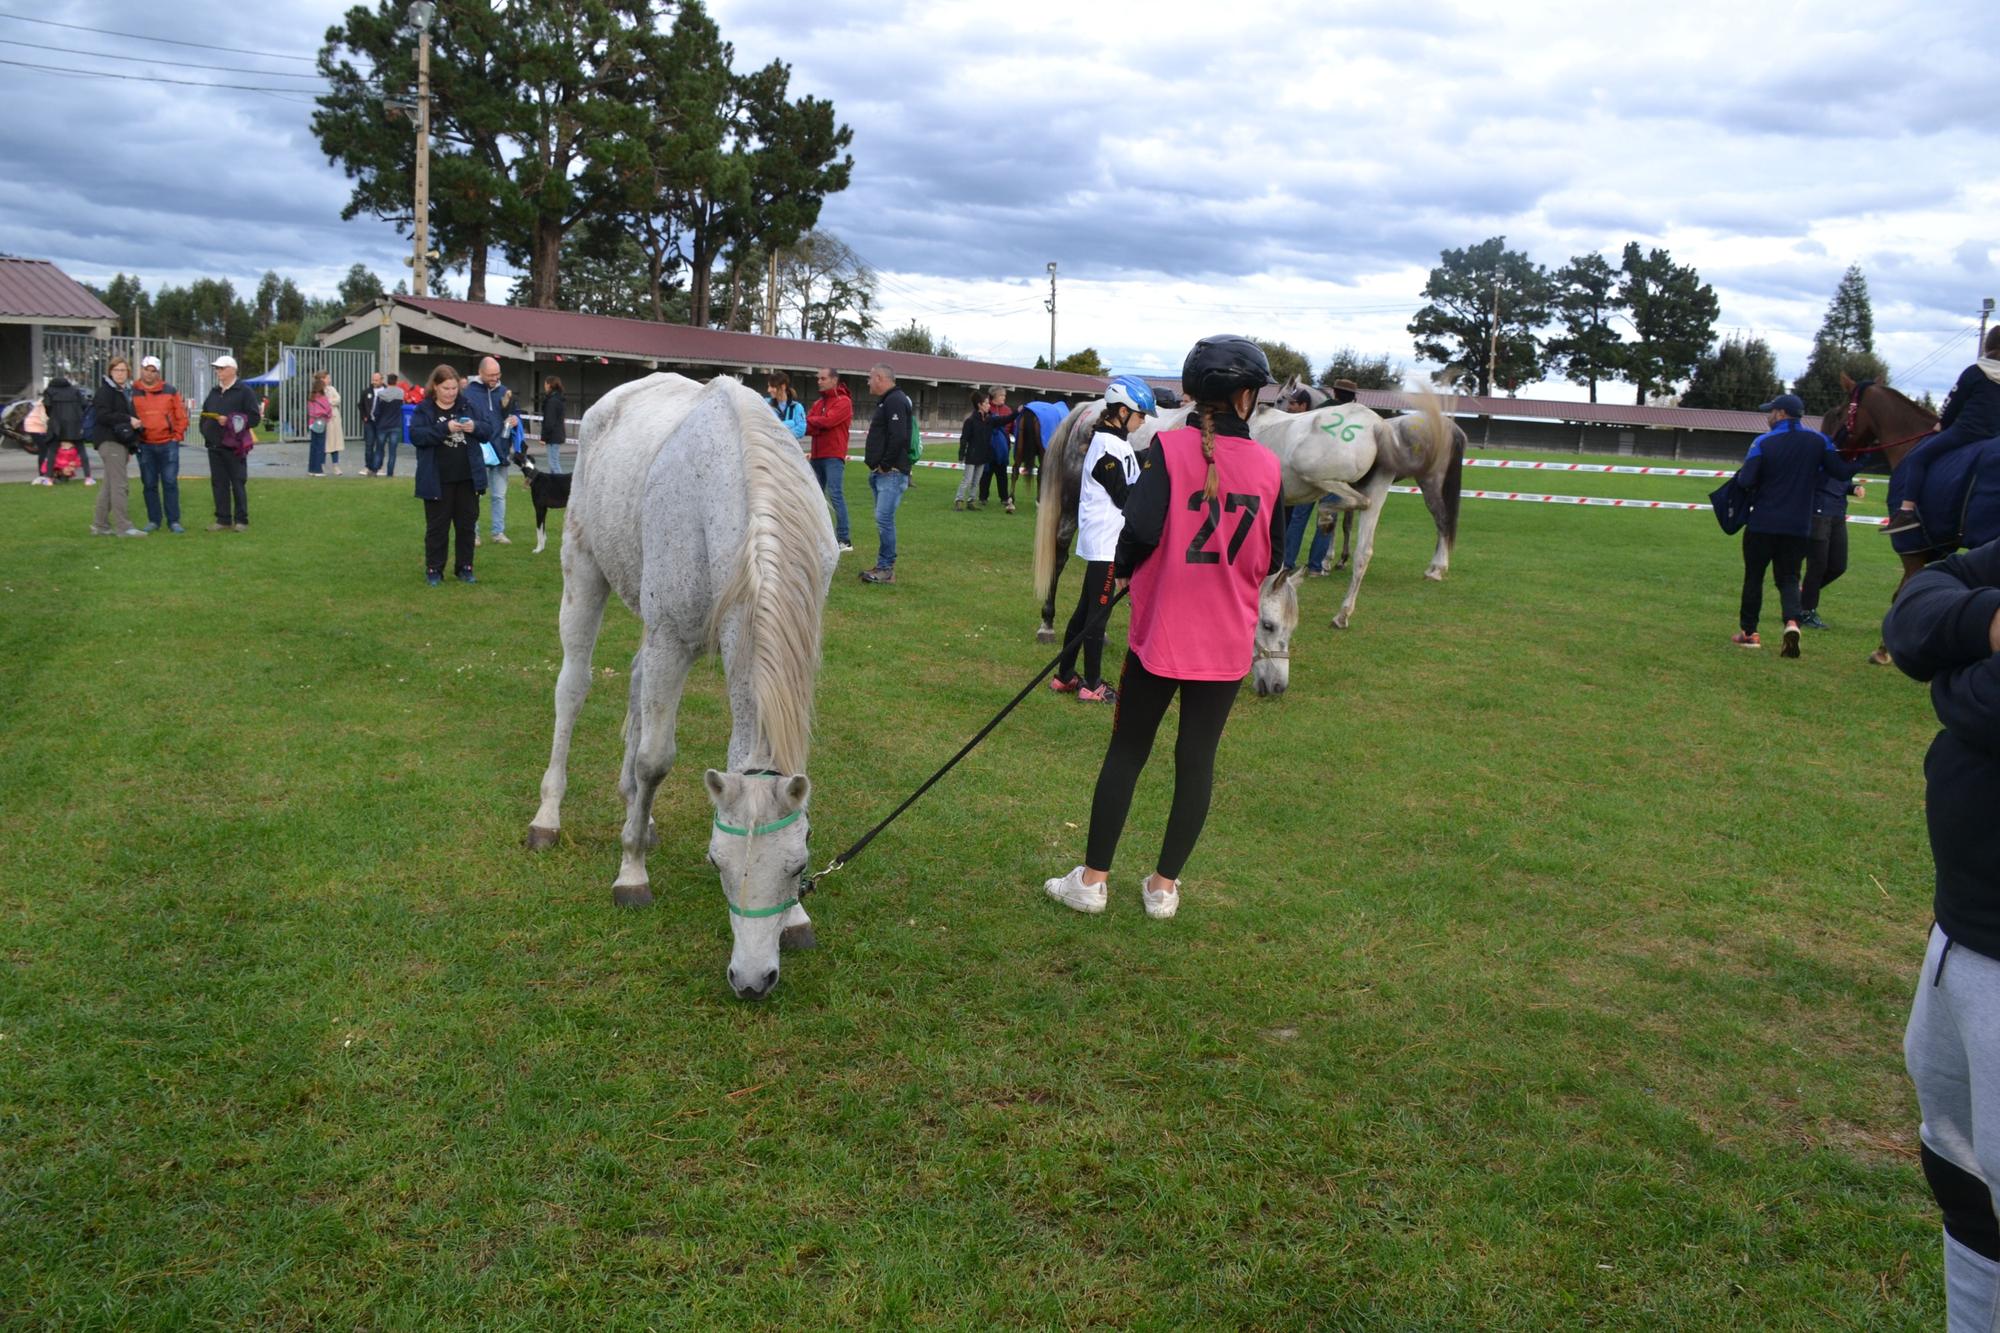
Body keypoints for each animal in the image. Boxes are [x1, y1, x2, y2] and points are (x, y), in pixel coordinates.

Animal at [524, 374, 836, 996]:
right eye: (717, 863)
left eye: (798, 865)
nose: (752, 980)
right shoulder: (671, 635)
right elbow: (655, 760)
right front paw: (631, 874)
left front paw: (795, 916)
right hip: (584, 570)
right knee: (572, 689)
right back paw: (549, 818)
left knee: (635, 680)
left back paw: (637, 815)